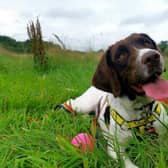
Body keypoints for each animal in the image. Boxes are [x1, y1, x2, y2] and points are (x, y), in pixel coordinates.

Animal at [59, 33, 167, 167]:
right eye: (120, 56)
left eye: (147, 42)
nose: (152, 57)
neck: (140, 110)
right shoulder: (115, 149)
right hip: (82, 105)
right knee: (69, 103)